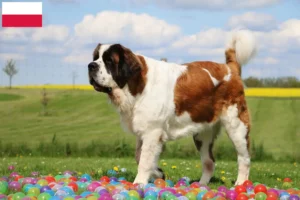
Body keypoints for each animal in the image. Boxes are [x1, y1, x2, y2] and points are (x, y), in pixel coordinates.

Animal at [88, 28, 256, 185]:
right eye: (95, 58)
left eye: (109, 61)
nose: (91, 65)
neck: (136, 84)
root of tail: (230, 68)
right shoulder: (144, 131)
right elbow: (139, 156)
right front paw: (158, 173)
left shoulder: (152, 132)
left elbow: (144, 161)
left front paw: (138, 183)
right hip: (202, 134)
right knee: (209, 162)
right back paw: (201, 185)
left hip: (237, 127)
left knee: (244, 158)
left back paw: (240, 183)